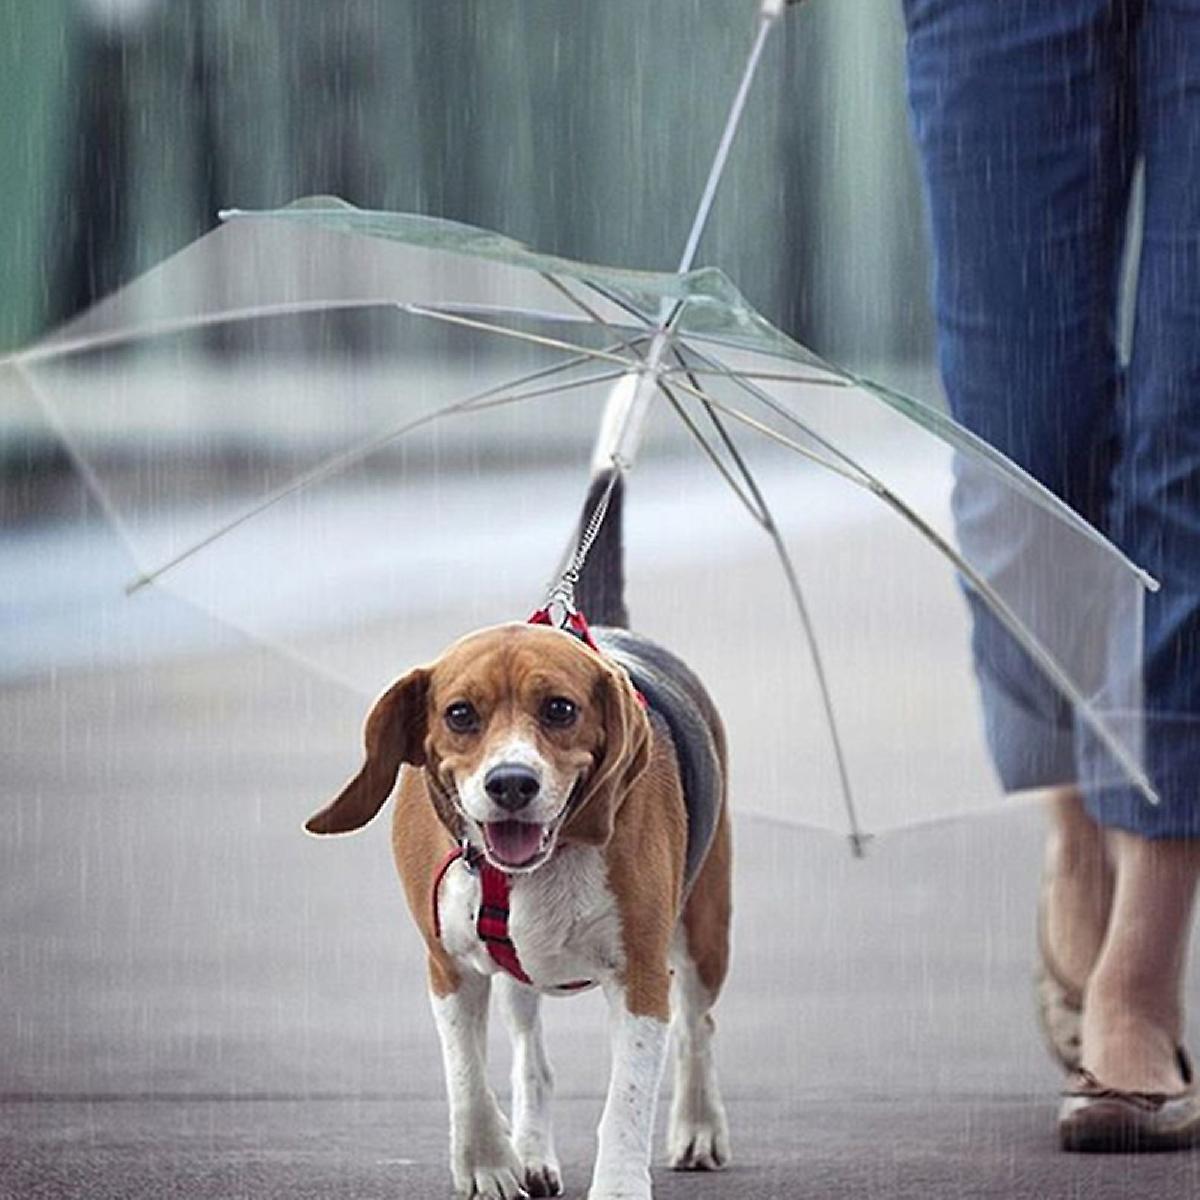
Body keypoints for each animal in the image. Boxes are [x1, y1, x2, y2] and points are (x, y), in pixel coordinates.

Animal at [304, 470, 729, 1200]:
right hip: (516, 979)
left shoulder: (642, 974)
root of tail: (605, 626)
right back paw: (530, 1149)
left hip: (704, 930)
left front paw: (619, 1185)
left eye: (560, 709)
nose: (511, 784)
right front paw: (487, 1163)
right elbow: (467, 1077)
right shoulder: (448, 966)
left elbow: (627, 1102)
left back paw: (699, 1124)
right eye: (459, 715)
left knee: (697, 1026)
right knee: (532, 1060)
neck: (537, 863)